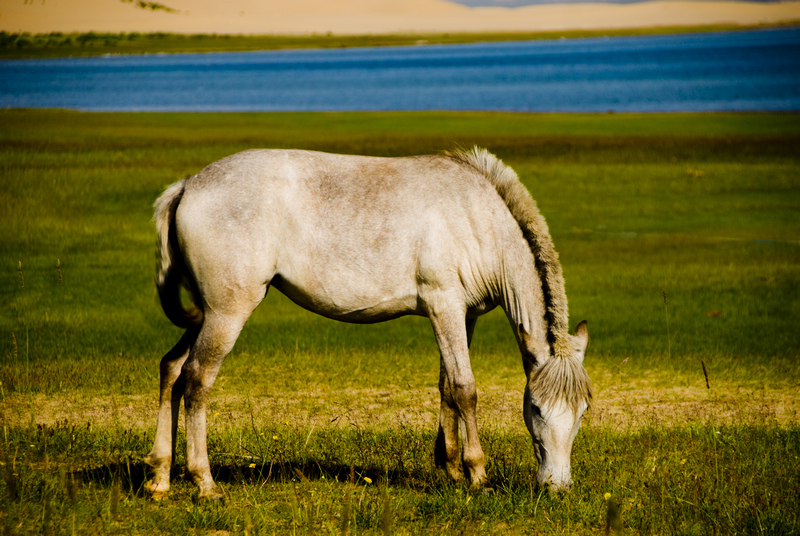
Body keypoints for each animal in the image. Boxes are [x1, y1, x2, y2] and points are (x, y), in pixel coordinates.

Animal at [147, 146, 592, 498]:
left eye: (583, 411)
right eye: (535, 408)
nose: (557, 486)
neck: (477, 218)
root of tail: (187, 185)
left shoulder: (463, 315)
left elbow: (447, 387)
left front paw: (450, 467)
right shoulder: (443, 305)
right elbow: (465, 389)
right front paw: (477, 473)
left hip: (206, 314)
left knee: (171, 369)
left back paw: (160, 479)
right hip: (227, 313)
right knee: (197, 379)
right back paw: (205, 483)